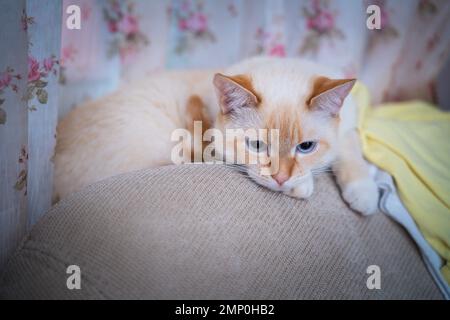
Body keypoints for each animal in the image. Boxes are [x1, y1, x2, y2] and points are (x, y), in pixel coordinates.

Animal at [53, 57, 380, 215]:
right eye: (257, 145)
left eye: (306, 146)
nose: (281, 179)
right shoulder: (208, 143)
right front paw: (303, 185)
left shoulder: (348, 126)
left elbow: (349, 152)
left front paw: (364, 194)